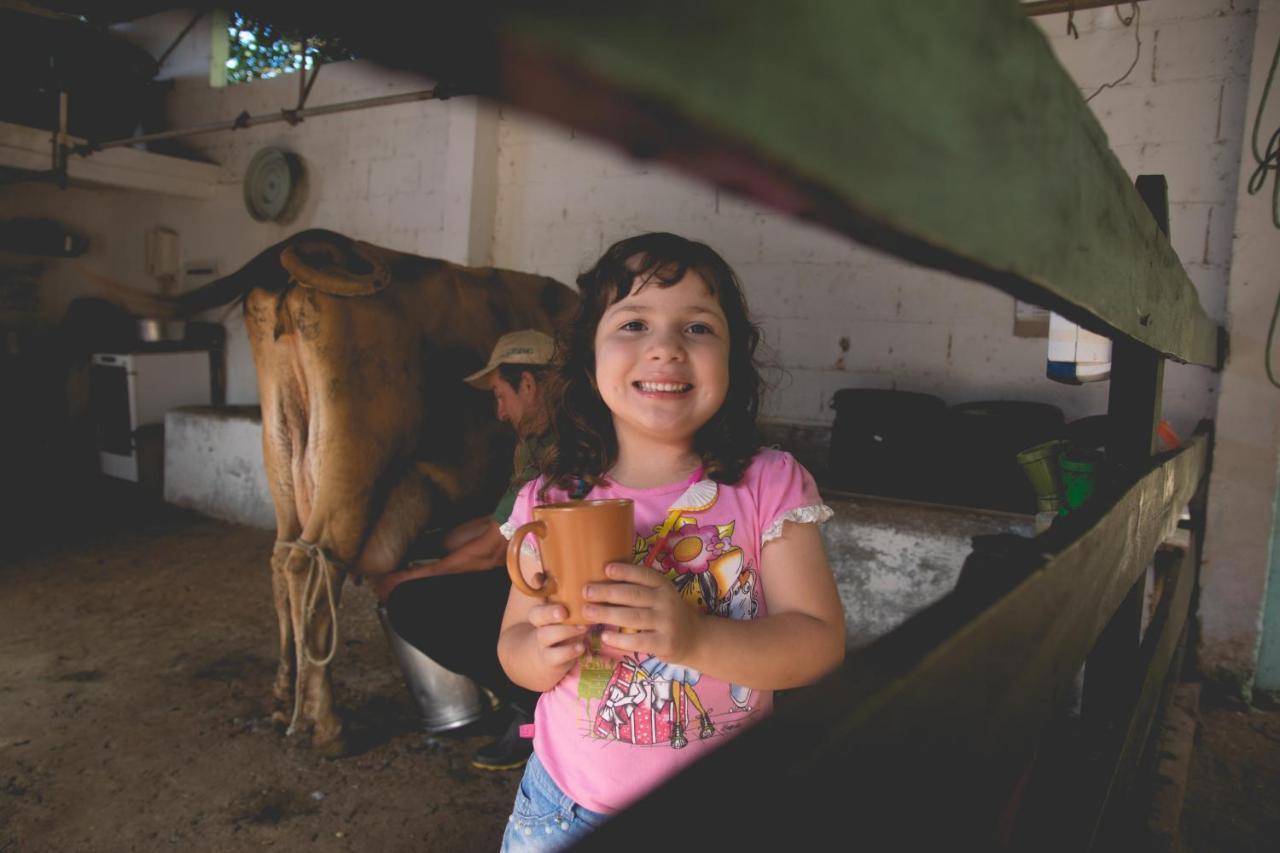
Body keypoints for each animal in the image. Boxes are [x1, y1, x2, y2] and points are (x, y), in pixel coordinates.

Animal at [184, 229, 576, 747]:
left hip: (283, 450)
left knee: (283, 559)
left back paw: (283, 700)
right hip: (357, 462)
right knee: (313, 565)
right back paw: (326, 725)